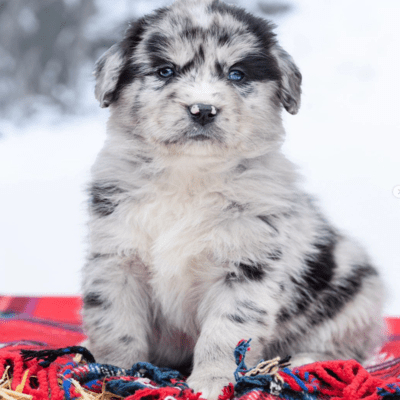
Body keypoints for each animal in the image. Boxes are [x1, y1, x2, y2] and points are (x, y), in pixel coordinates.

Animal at [81, 1, 384, 398]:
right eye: (165, 71)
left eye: (237, 75)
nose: (202, 109)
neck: (189, 177)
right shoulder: (116, 260)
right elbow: (116, 326)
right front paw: (117, 373)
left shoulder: (246, 267)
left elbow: (226, 333)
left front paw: (213, 382)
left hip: (355, 295)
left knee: (344, 348)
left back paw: (305, 364)